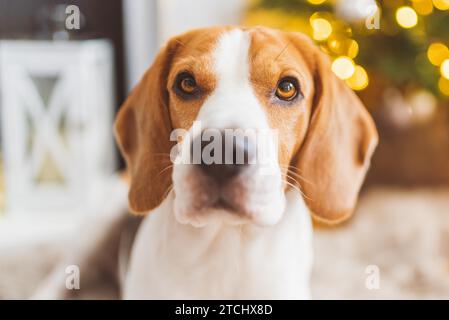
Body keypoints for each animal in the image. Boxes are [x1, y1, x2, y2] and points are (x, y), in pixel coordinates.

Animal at [34, 26, 378, 300]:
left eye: (287, 87)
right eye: (186, 83)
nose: (222, 154)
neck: (226, 246)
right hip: (97, 223)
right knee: (62, 275)